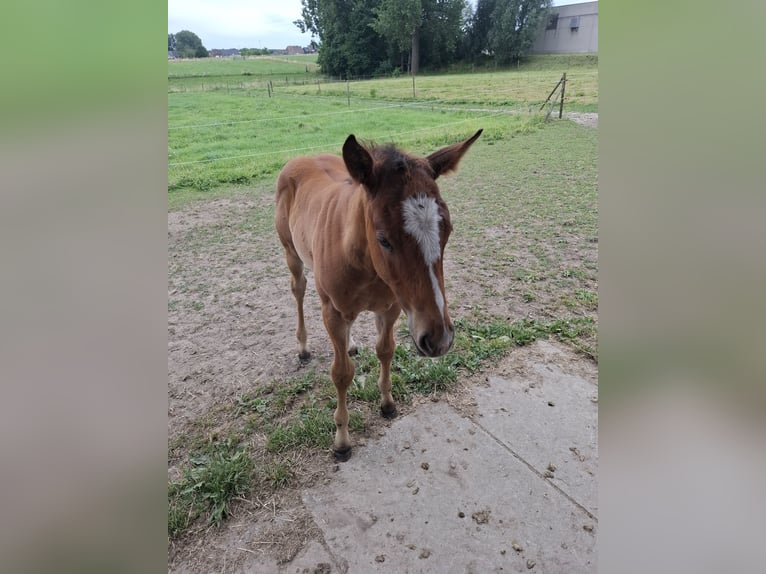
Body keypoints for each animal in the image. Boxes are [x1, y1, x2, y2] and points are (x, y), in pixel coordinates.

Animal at [275, 130, 482, 460]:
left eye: (448, 230)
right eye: (384, 239)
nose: (439, 339)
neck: (363, 261)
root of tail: (301, 159)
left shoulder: (391, 307)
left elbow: (385, 350)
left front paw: (387, 403)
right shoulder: (332, 312)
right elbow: (341, 374)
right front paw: (342, 440)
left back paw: (350, 345)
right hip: (291, 252)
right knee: (298, 288)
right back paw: (303, 347)